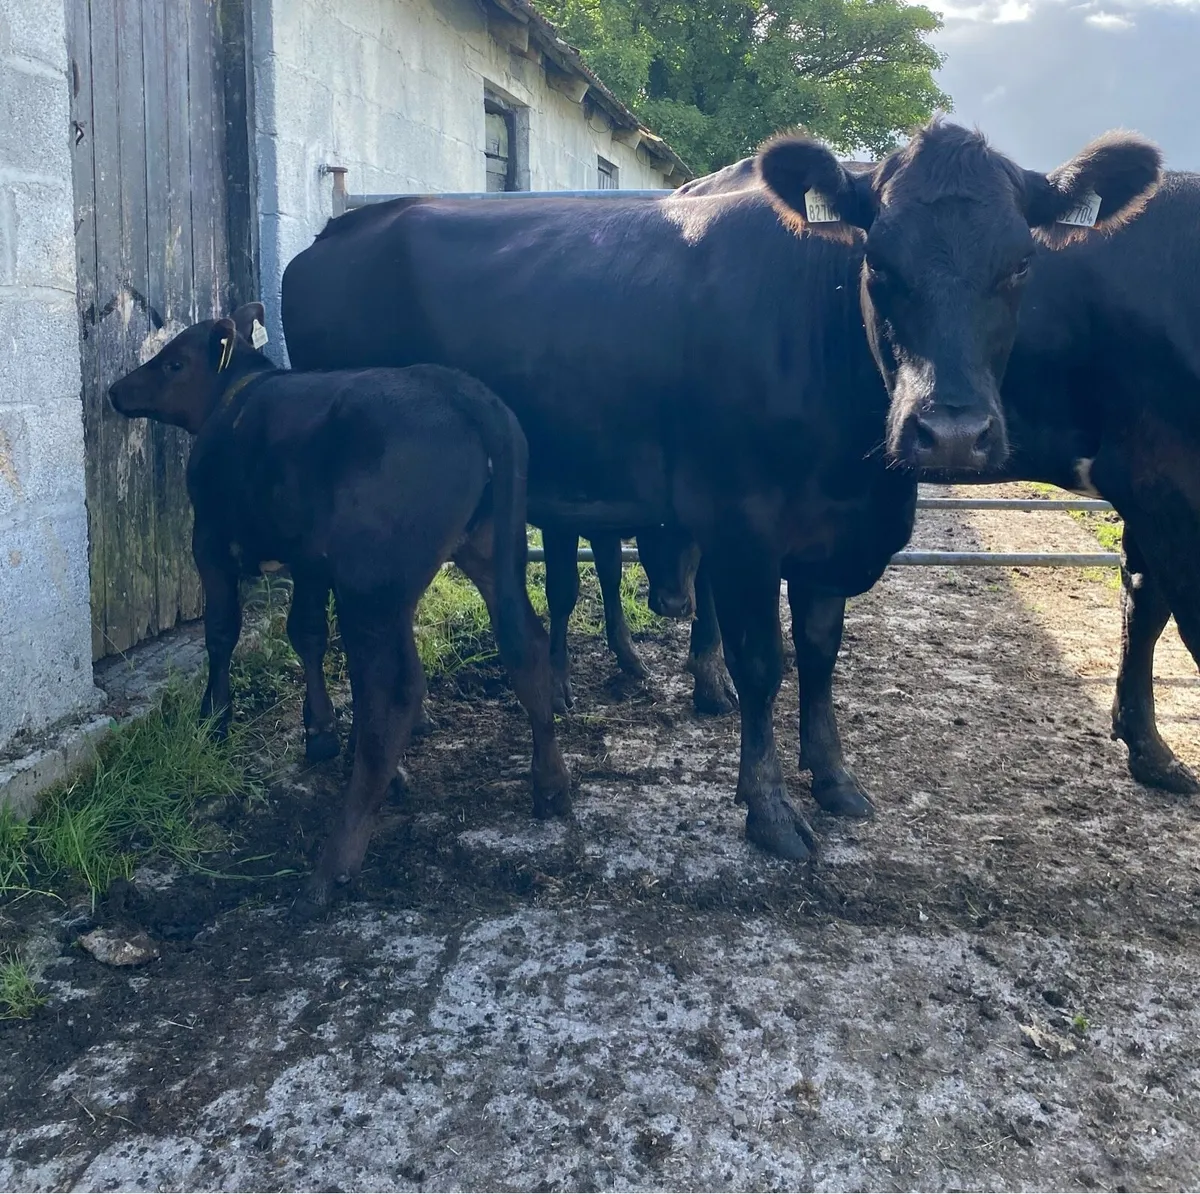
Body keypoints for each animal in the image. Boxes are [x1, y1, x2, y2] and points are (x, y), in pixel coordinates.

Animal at [107, 304, 571, 909]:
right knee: (525, 646)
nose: (115, 390)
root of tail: (458, 389)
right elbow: (305, 631)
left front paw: (215, 716)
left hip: (371, 587)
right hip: (491, 550)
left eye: (172, 363)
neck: (237, 397)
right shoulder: (309, 560)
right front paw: (321, 729)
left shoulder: (208, 540)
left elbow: (222, 631)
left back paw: (334, 864)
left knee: (392, 693)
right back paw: (550, 782)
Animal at [280, 120, 1160, 862]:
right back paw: (340, 740)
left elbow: (821, 653)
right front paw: (768, 809)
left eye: (1021, 264)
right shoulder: (744, 530)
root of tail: (335, 233)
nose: (948, 432)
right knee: (321, 613)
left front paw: (833, 777)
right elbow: (763, 663)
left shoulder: (830, 538)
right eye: (879, 262)